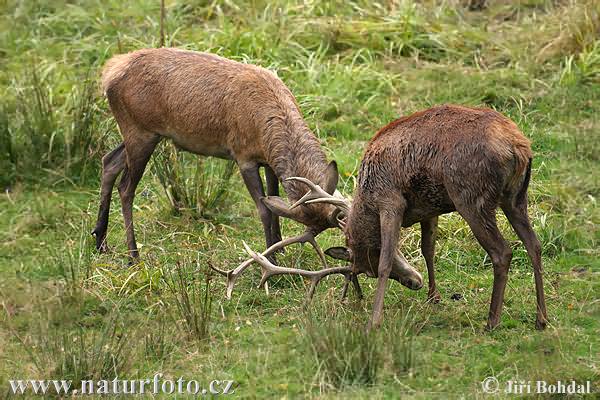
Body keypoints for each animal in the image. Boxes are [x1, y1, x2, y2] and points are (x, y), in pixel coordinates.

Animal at [91, 47, 342, 264]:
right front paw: (270, 257)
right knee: (126, 187)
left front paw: (279, 246)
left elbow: (274, 199)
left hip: (142, 133)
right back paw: (133, 256)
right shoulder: (244, 157)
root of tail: (109, 73)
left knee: (109, 161)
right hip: (139, 131)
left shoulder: (269, 161)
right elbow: (264, 209)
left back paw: (100, 241)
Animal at [236, 104, 548, 332]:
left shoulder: (391, 201)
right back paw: (541, 318)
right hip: (516, 197)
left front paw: (375, 320)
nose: (413, 282)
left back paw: (492, 321)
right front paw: (433, 296)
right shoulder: (430, 208)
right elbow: (428, 247)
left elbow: (388, 259)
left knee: (502, 252)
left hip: (471, 198)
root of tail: (519, 148)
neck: (366, 198)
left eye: (368, 267)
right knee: (534, 244)